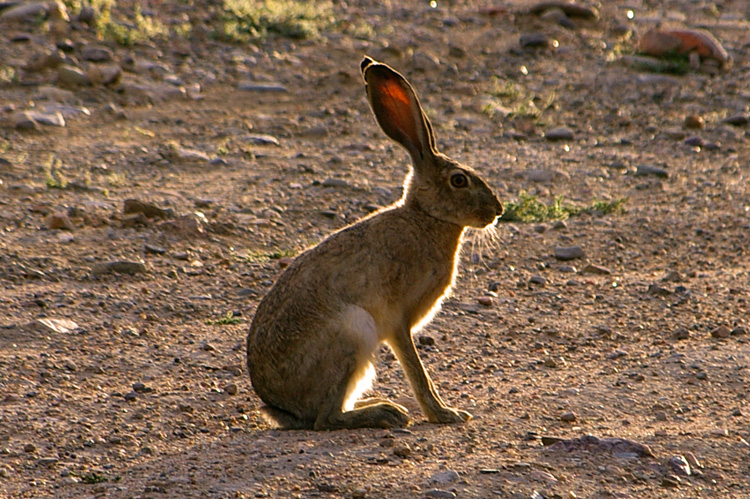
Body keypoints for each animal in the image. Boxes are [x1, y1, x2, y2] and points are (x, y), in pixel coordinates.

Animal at [248, 53, 506, 430]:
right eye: (459, 180)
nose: (498, 210)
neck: (426, 217)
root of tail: (281, 408)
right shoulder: (397, 320)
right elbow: (417, 371)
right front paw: (445, 414)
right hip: (353, 331)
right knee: (325, 419)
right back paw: (386, 413)